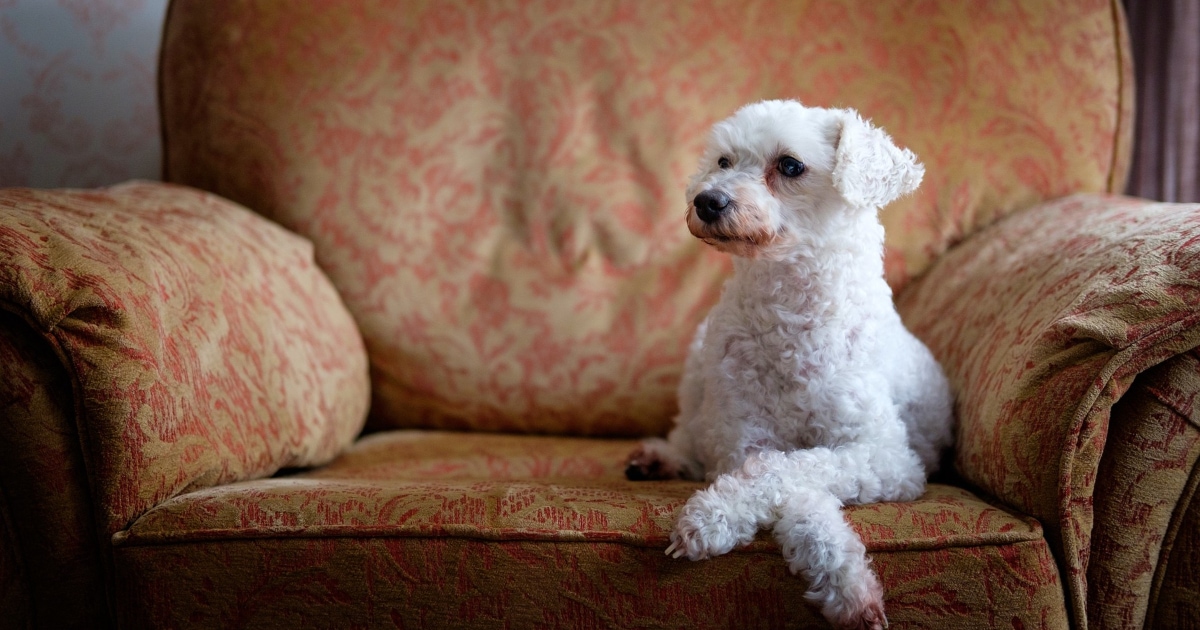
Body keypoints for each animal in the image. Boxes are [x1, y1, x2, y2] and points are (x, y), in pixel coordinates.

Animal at [628, 100, 955, 624]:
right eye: (723, 160)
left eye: (790, 166)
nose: (707, 201)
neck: (790, 319)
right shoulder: (744, 443)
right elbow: (782, 478)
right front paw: (716, 518)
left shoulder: (888, 457)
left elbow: (793, 476)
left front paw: (847, 587)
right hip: (701, 367)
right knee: (691, 437)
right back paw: (662, 457)